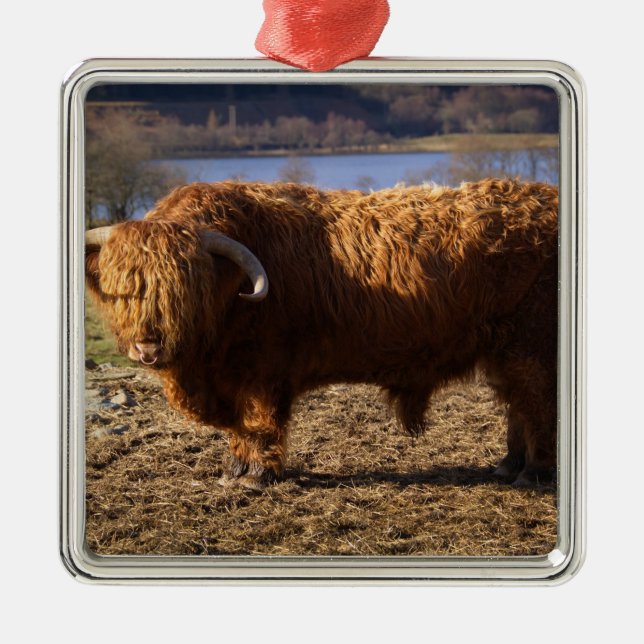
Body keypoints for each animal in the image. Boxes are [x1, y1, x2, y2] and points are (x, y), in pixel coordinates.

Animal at [85, 178, 558, 489]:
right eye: (124, 287)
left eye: (184, 288)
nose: (148, 346)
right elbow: (241, 428)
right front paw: (234, 471)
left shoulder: (265, 370)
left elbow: (261, 421)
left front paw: (258, 477)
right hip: (504, 347)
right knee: (517, 403)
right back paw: (508, 464)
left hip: (531, 343)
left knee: (536, 403)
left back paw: (532, 473)